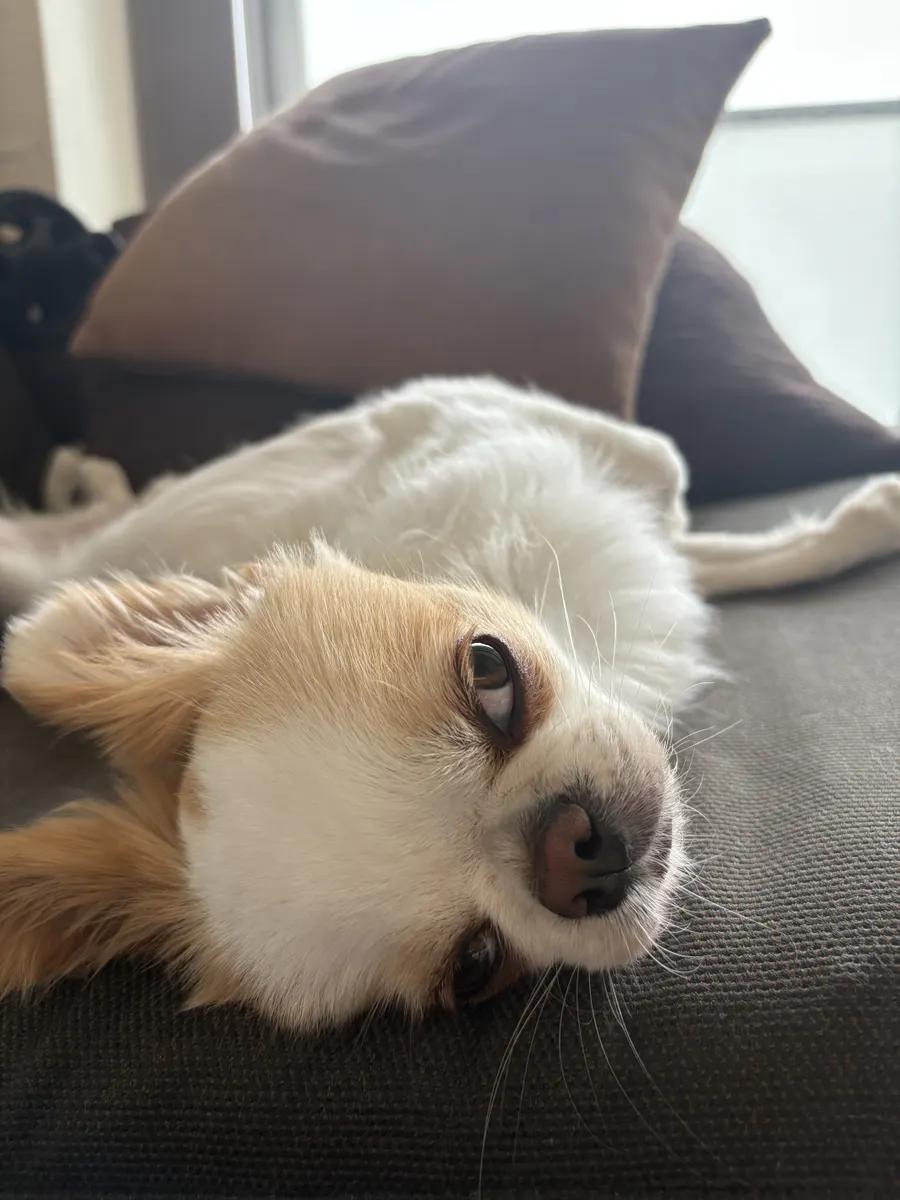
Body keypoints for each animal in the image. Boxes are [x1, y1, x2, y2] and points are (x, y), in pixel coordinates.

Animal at [1, 376, 899, 1032]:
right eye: (476, 966)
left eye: (486, 669)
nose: (576, 852)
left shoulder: (481, 410)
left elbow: (674, 486)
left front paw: (860, 520)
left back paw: (89, 473)